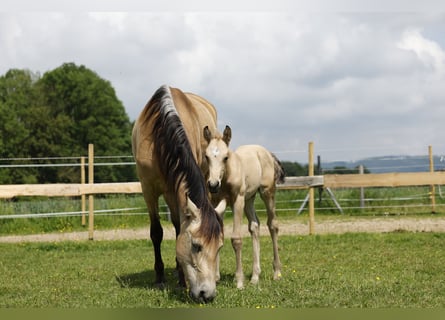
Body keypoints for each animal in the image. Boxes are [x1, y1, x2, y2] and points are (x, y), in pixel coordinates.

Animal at [131, 85, 225, 302]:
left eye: (219, 247)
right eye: (196, 246)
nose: (207, 295)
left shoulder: (173, 189)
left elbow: (178, 230)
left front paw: (182, 278)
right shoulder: (148, 188)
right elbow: (156, 232)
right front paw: (160, 277)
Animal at [203, 125, 282, 290]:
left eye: (225, 157)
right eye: (206, 156)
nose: (213, 185)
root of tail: (266, 152)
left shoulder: (237, 201)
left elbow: (236, 239)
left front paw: (239, 281)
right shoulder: (216, 202)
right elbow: (217, 232)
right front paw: (215, 277)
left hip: (266, 193)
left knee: (273, 225)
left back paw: (277, 272)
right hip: (249, 198)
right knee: (255, 226)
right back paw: (255, 276)